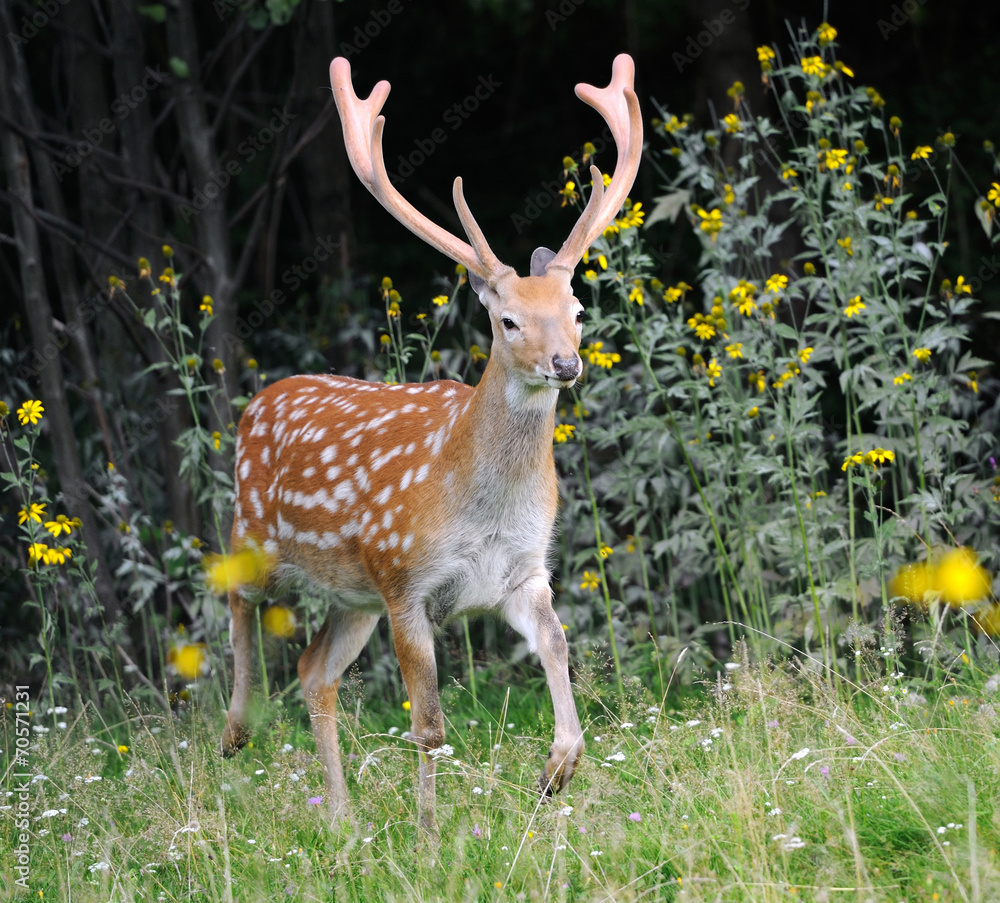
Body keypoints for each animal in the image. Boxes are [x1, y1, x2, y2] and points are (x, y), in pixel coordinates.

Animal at [221, 53, 640, 836]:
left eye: (575, 310)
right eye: (508, 320)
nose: (565, 363)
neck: (481, 504)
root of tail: (255, 402)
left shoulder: (522, 574)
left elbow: (559, 649)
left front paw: (555, 771)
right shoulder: (407, 582)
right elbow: (430, 725)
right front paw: (429, 834)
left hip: (353, 594)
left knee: (315, 672)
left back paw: (342, 819)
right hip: (262, 534)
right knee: (231, 590)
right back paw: (235, 728)